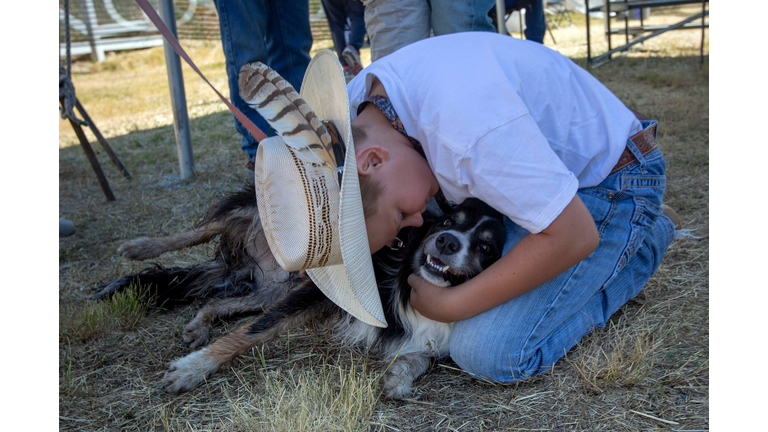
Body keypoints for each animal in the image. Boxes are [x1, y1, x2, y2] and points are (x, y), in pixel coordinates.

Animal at [94, 186, 504, 398]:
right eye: (447, 221)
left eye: (486, 247)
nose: (447, 241)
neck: (408, 277)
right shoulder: (325, 292)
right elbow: (252, 331)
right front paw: (192, 370)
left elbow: (420, 357)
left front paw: (398, 378)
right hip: (255, 212)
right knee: (200, 230)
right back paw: (139, 246)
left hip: (276, 285)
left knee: (222, 300)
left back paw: (198, 324)